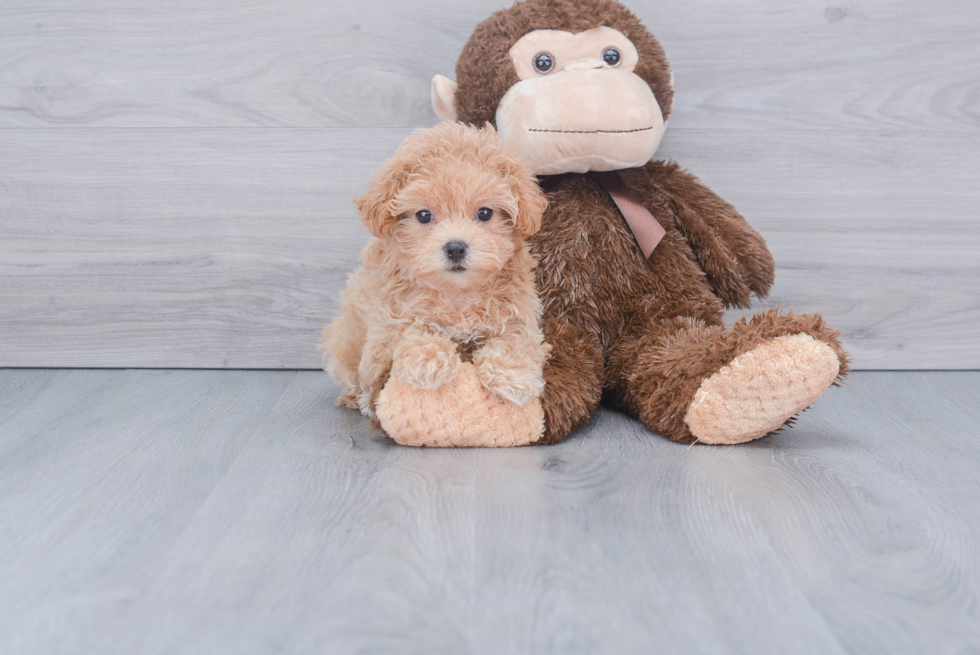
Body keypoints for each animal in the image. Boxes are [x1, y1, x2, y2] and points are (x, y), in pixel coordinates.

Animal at [322, 121, 552, 420]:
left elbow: (513, 341)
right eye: (424, 215)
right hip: (345, 341)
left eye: (485, 213)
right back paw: (356, 399)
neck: (456, 293)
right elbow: (409, 330)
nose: (455, 248)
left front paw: (513, 377)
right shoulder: (386, 318)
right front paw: (427, 361)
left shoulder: (519, 315)